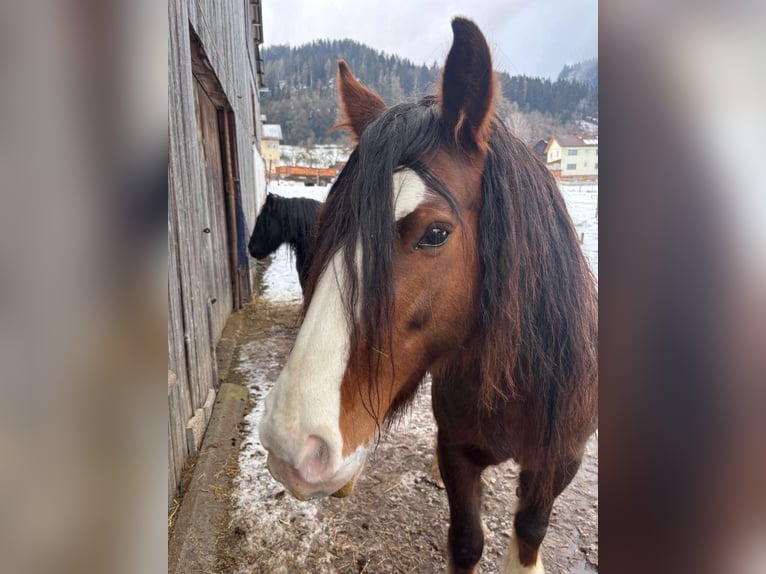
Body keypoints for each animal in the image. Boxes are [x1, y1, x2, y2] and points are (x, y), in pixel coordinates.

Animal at [258, 18, 600, 574]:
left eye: (435, 234)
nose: (293, 445)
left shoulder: (558, 460)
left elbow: (529, 531)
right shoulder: (456, 451)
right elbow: (465, 541)